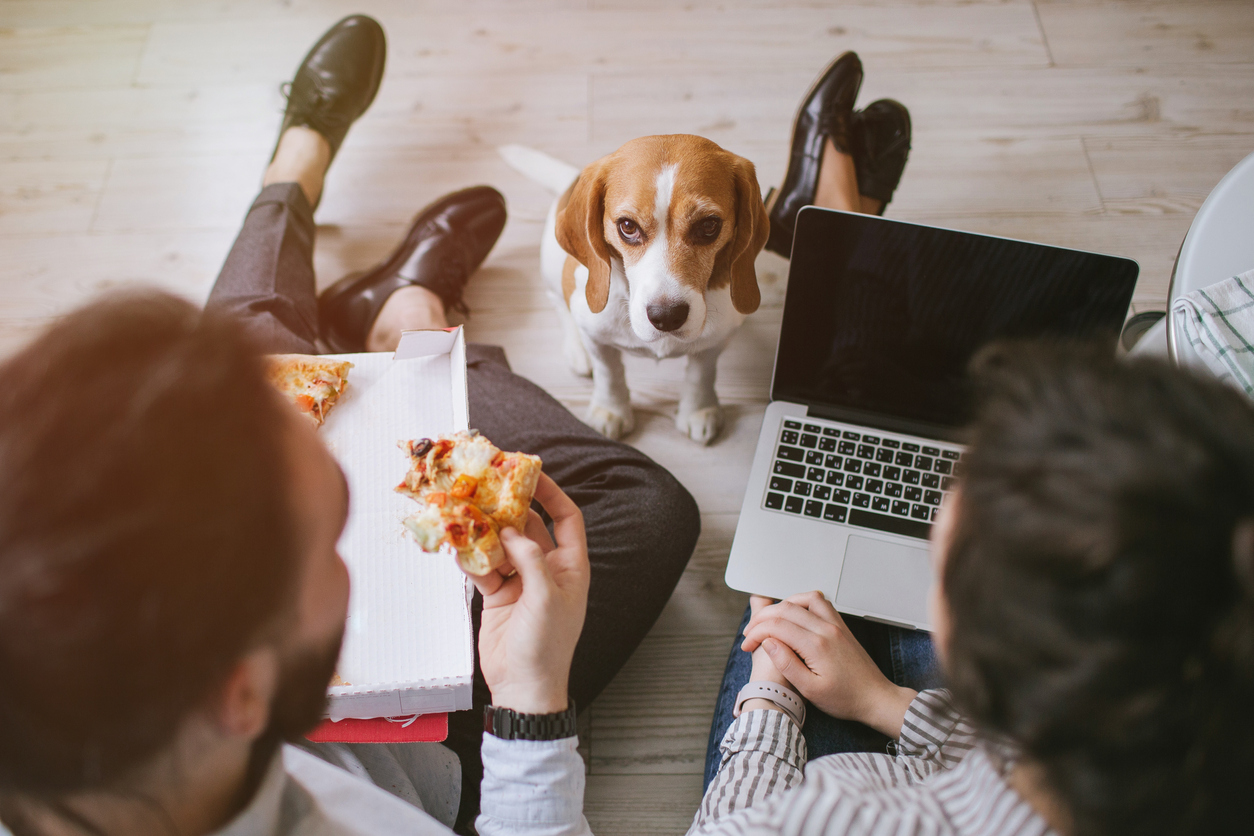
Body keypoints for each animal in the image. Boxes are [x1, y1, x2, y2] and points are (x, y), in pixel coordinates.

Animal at [504, 135, 767, 443]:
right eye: (628, 226)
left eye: (709, 225)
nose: (667, 316)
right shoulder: (598, 338)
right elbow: (609, 374)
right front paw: (610, 411)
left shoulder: (717, 338)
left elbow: (701, 373)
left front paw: (698, 409)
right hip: (554, 264)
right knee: (559, 302)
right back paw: (577, 349)